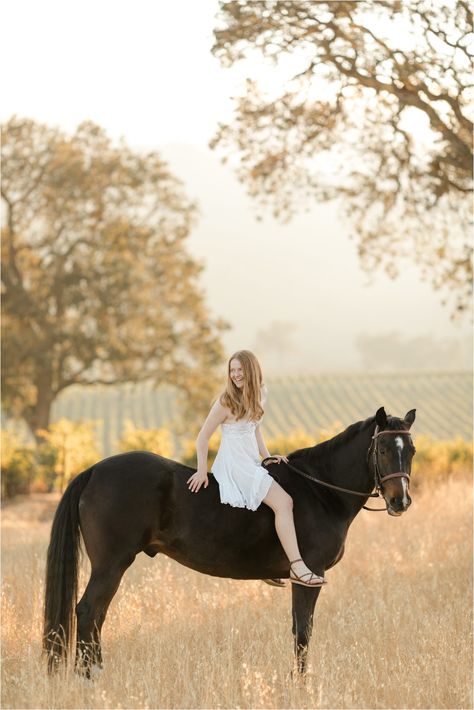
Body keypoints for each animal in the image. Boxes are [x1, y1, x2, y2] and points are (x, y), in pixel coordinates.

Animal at [42, 406, 416, 680]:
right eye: (383, 448)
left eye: (410, 450)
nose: (400, 501)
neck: (319, 490)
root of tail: (93, 471)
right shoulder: (308, 576)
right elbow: (303, 632)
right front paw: (301, 684)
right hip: (111, 564)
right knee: (88, 611)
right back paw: (89, 677)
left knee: (97, 615)